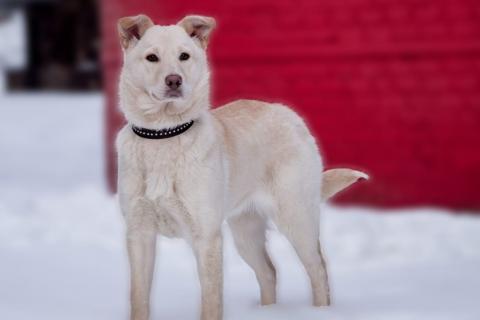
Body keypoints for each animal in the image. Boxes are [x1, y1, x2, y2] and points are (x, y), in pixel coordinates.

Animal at [116, 14, 368, 320]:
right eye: (152, 57)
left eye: (184, 56)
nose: (174, 80)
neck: (164, 135)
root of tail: (289, 114)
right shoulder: (138, 235)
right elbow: (138, 299)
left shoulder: (207, 237)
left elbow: (211, 302)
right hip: (245, 232)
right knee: (269, 272)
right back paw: (268, 311)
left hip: (297, 219)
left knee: (318, 269)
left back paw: (321, 311)